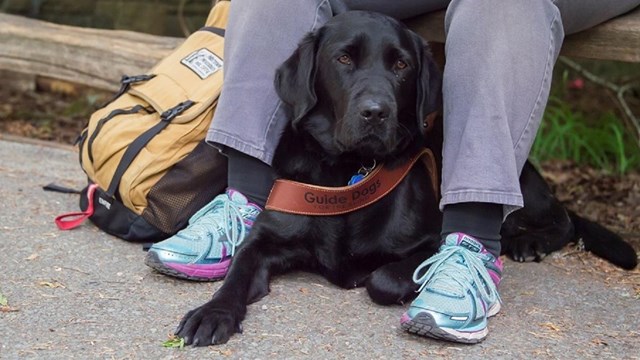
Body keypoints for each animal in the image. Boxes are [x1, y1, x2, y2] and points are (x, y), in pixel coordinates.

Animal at [172, 10, 636, 346]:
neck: (347, 174)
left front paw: (372, 277)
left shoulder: (430, 242)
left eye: (401, 65)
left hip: (518, 185)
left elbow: (384, 277)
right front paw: (212, 314)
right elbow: (237, 273)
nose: (376, 112)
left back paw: (529, 241)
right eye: (343, 59)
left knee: (563, 219)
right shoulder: (265, 241)